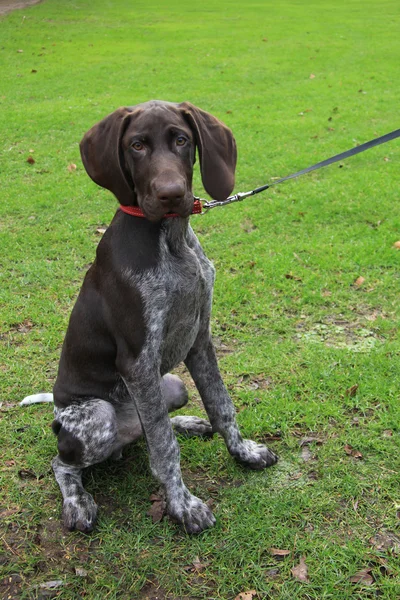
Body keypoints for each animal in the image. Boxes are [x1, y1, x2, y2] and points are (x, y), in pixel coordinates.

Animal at [21, 101, 278, 532]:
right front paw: (183, 505)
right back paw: (77, 501)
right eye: (137, 145)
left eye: (182, 140)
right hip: (97, 418)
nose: (171, 193)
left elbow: (221, 405)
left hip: (171, 385)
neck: (171, 241)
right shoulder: (138, 361)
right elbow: (163, 449)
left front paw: (243, 451)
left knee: (149, 425)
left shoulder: (199, 340)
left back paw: (188, 423)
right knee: (65, 461)